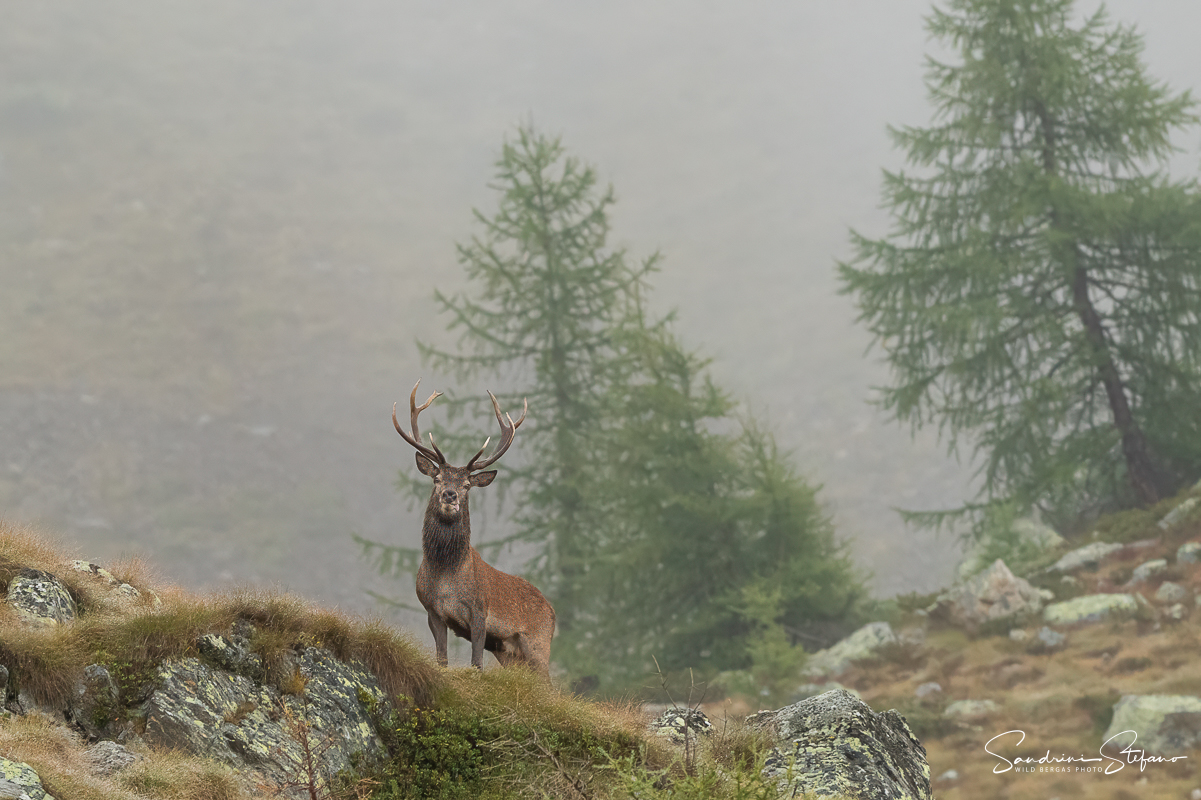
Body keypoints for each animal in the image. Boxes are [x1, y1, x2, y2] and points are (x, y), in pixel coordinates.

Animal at [393, 380, 556, 678]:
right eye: (437, 478)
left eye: (467, 485)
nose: (450, 495)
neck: (446, 575)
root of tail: (552, 611)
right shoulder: (433, 611)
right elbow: (442, 659)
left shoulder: (480, 612)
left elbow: (476, 663)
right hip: (509, 652)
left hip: (538, 644)